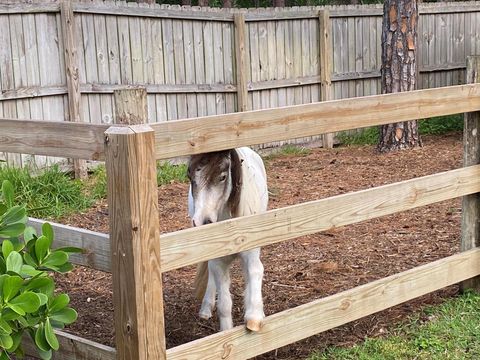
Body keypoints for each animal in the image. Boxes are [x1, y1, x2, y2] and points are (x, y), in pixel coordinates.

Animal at [188, 147, 268, 332]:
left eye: (223, 177)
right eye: (190, 177)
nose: (202, 221)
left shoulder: (251, 250)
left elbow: (255, 271)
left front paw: (254, 317)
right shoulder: (218, 260)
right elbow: (224, 305)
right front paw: (226, 332)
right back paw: (206, 308)